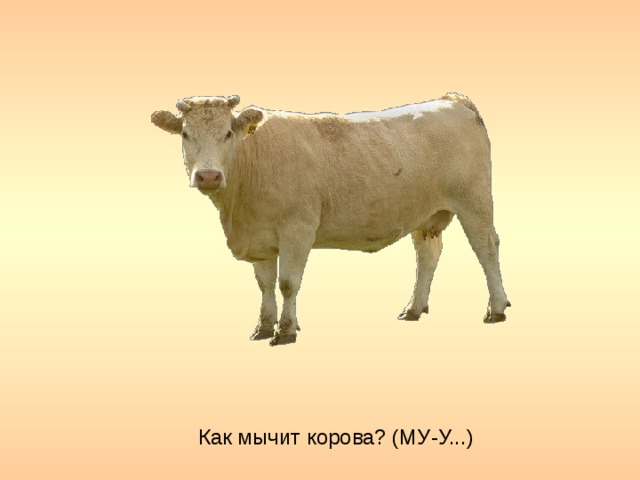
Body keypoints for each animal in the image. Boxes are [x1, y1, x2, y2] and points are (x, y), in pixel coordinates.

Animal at [151, 93, 510, 346]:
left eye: (227, 133)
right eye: (185, 134)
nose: (208, 176)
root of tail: (452, 100)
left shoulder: (297, 229)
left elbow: (287, 283)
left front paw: (286, 331)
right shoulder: (260, 238)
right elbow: (265, 284)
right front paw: (263, 327)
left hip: (474, 200)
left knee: (486, 248)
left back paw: (496, 308)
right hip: (426, 212)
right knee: (428, 255)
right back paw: (413, 308)